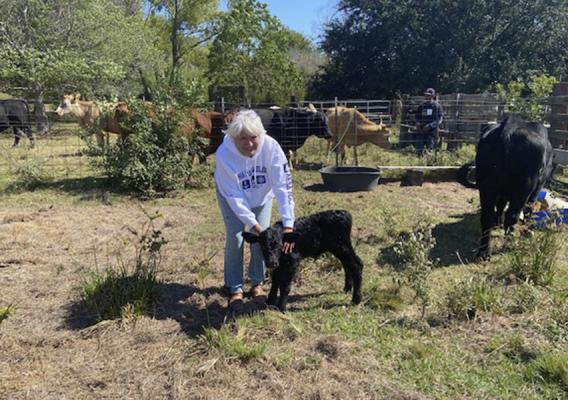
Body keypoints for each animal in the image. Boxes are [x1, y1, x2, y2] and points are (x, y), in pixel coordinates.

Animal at [458, 115, 556, 260]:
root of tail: (509, 126)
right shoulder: (534, 191)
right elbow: (528, 210)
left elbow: (500, 205)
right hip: (522, 190)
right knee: (512, 216)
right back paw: (509, 244)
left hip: (487, 188)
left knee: (487, 216)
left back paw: (484, 252)